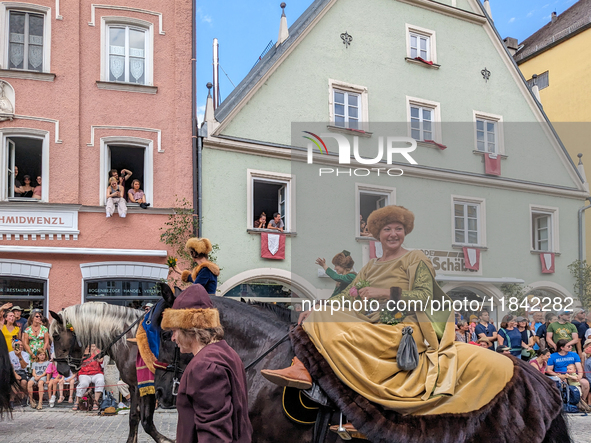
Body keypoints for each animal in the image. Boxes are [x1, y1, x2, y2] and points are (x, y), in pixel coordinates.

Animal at [49, 306, 172, 443]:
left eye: (56, 336)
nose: (60, 370)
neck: (129, 341)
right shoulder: (134, 387)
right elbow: (134, 417)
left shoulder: (146, 387)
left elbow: (146, 422)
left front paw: (167, 440)